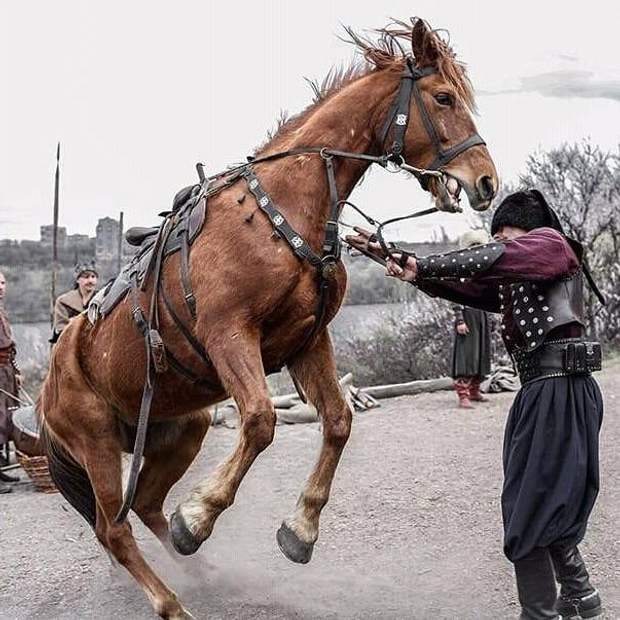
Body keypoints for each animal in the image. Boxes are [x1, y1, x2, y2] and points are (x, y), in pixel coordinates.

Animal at [40, 17, 498, 616]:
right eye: (443, 97)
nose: (487, 181)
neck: (280, 211)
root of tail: (49, 377)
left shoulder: (308, 341)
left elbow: (339, 421)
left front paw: (299, 530)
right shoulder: (230, 335)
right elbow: (260, 421)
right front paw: (200, 515)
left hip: (181, 426)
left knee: (146, 504)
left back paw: (202, 570)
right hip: (95, 442)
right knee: (113, 529)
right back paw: (172, 600)